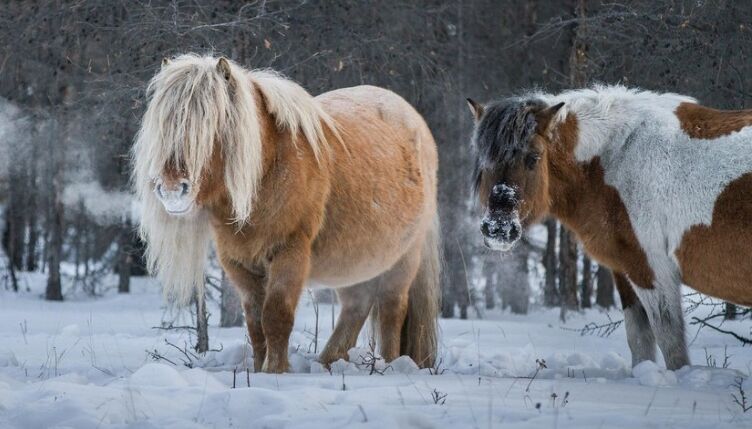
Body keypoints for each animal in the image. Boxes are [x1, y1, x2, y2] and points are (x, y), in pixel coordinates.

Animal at [134, 55, 440, 372]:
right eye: (163, 126)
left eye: (212, 124)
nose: (172, 189)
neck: (268, 171)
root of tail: (416, 124)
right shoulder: (238, 263)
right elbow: (255, 324)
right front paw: (258, 370)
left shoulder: (289, 253)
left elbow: (276, 316)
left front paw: (276, 371)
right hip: (357, 261)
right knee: (357, 305)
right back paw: (328, 362)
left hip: (404, 258)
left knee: (393, 308)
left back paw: (390, 366)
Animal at [468, 85, 748, 370]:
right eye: (483, 161)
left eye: (533, 158)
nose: (498, 228)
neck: (618, 156)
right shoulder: (625, 270)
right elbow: (639, 339)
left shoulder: (651, 270)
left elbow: (670, 343)